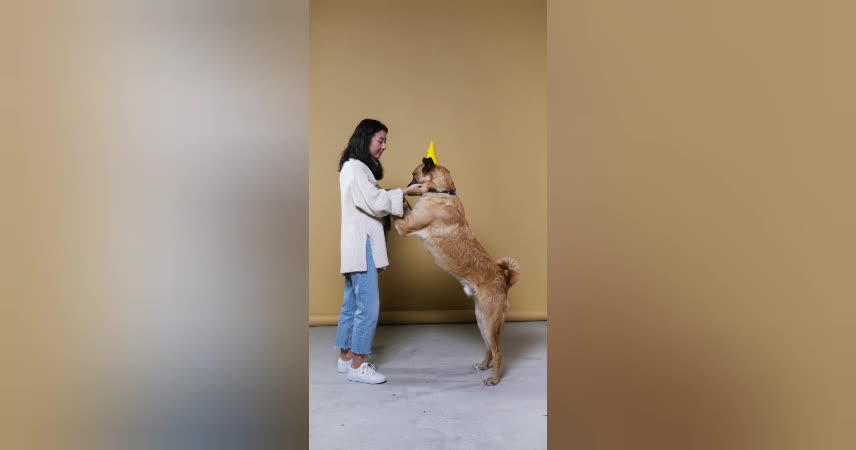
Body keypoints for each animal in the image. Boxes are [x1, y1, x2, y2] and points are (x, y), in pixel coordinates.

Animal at [392, 157, 520, 384]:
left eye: (414, 175)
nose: (408, 186)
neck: (443, 191)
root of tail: (504, 279)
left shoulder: (406, 225)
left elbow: (402, 208)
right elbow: (403, 205)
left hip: (491, 321)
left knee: (498, 352)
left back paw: (494, 379)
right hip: (482, 320)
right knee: (489, 348)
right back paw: (483, 366)